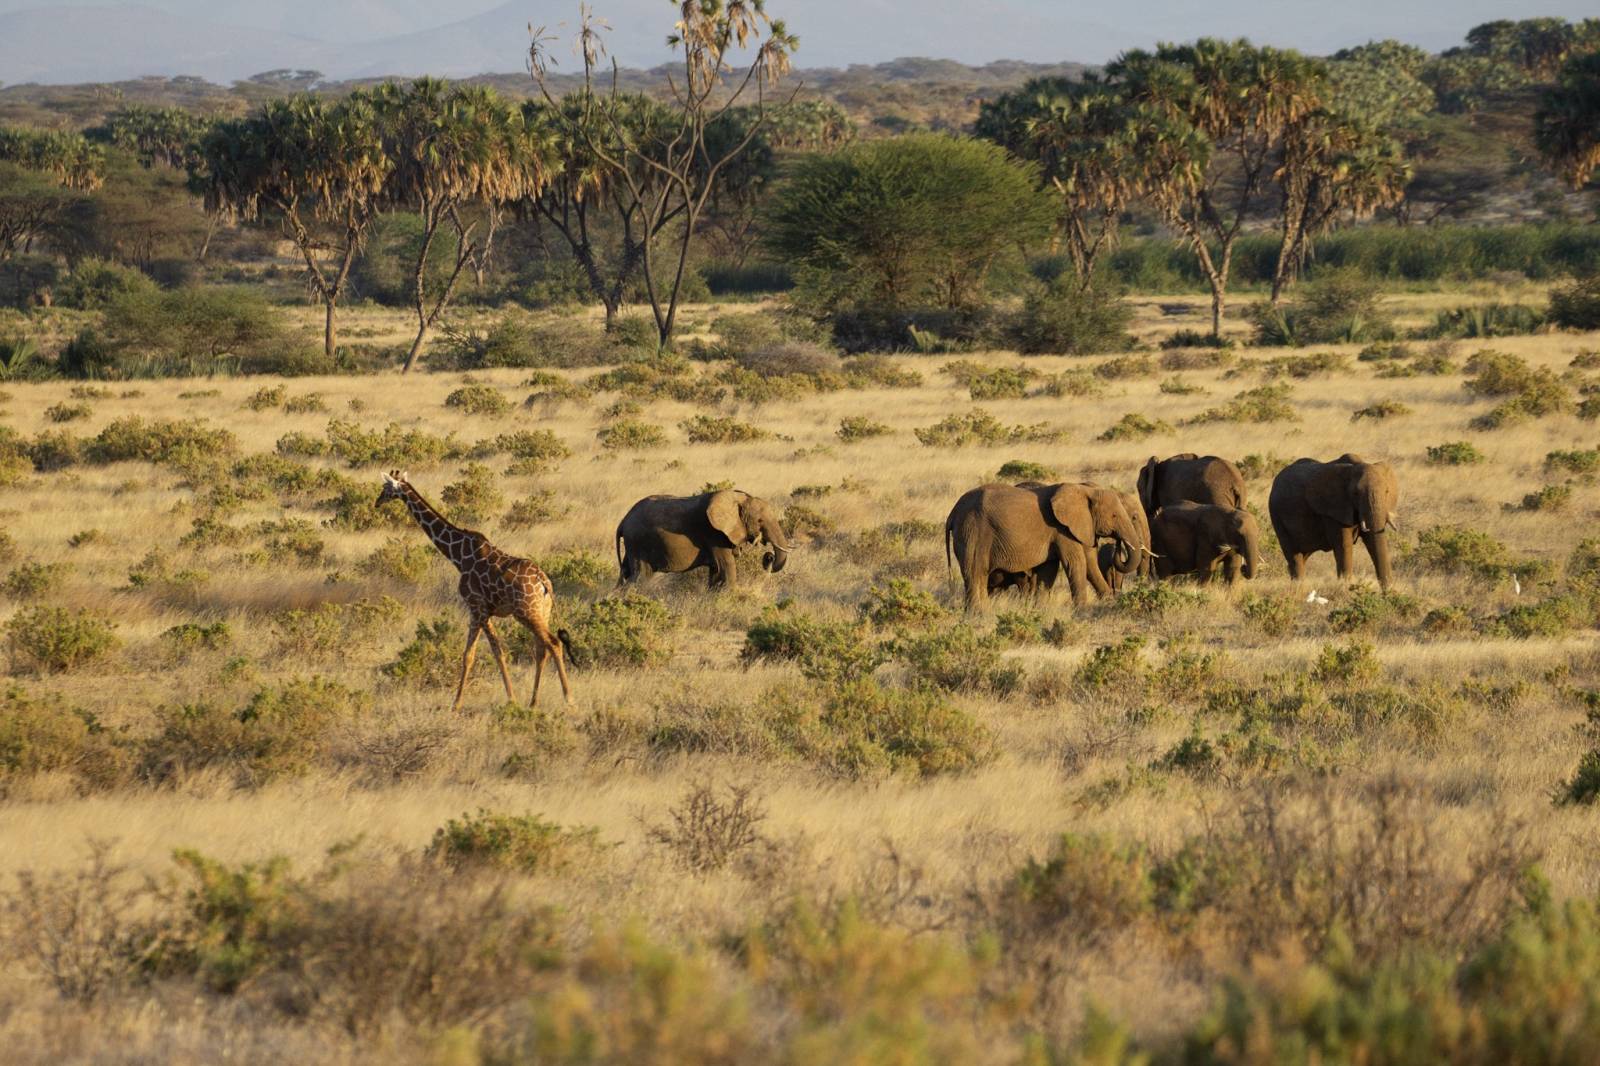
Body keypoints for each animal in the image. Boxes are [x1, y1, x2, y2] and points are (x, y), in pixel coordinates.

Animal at [376, 470, 572, 710]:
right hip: (541, 612)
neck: (458, 556)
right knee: (541, 649)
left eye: (385, 488)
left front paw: (460, 704)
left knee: (553, 643)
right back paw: (533, 702)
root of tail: (544, 582)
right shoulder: (483, 611)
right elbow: (488, 652)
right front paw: (510, 699)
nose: (377, 502)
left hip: (527, 613)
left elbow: (477, 654)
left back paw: (569, 699)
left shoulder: (477, 608)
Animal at [614, 486, 790, 585]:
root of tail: (623, 521)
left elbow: (715, 571)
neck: (737, 498)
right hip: (639, 543)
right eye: (760, 521)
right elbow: (727, 569)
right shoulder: (714, 535)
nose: (769, 556)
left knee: (626, 573)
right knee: (639, 577)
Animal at [940, 480, 1145, 605]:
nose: (1117, 545)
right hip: (973, 531)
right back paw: (980, 614)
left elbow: (1051, 568)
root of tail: (953, 513)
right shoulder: (1062, 529)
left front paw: (1040, 608)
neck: (1083, 489)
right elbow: (1076, 563)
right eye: (1114, 515)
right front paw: (1082, 609)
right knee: (975, 573)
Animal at [1267, 451, 1395, 589]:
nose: (1387, 591)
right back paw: (1299, 586)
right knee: (1293, 555)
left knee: (1303, 555)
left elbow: (1371, 541)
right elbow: (1344, 544)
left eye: (1387, 491)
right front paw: (1345, 587)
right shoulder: (1332, 510)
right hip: (1276, 516)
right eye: (1355, 493)